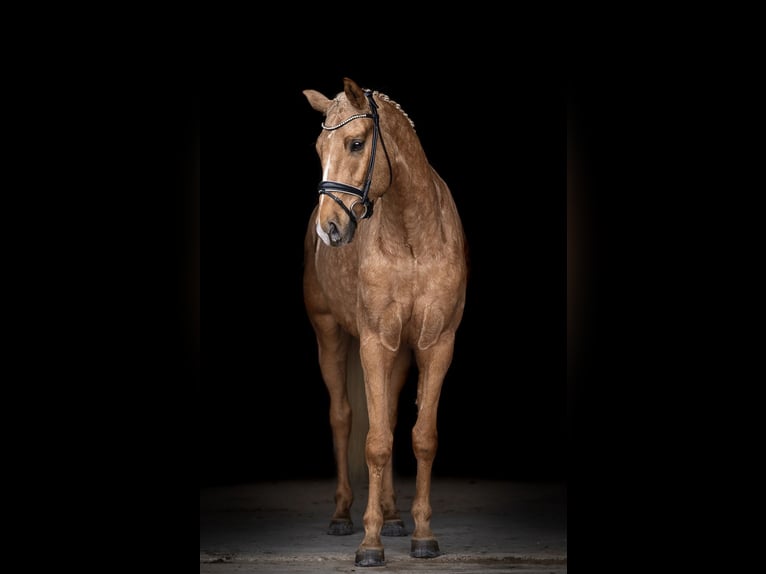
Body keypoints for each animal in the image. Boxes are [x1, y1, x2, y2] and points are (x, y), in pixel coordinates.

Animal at [302, 79, 468, 568]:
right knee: (342, 417)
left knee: (391, 419)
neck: (412, 235)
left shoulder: (436, 344)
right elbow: (374, 441)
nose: (329, 229)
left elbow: (420, 437)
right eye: (319, 148)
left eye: (356, 143)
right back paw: (342, 516)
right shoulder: (373, 342)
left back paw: (394, 517)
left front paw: (423, 536)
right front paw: (369, 544)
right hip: (329, 334)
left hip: (401, 354)